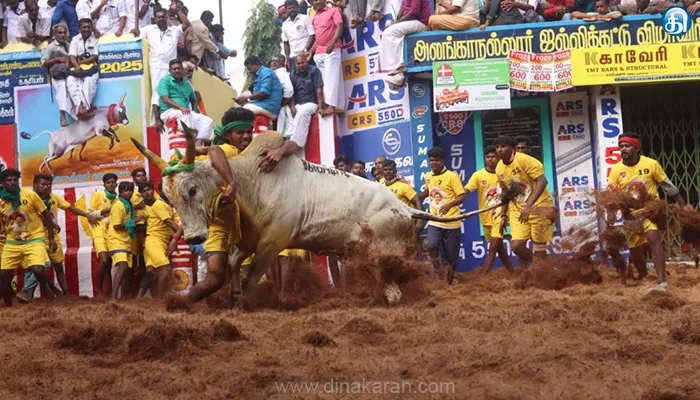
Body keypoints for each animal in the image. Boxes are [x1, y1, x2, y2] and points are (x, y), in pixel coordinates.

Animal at [134, 130, 478, 296]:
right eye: (169, 195)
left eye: (192, 189)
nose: (193, 237)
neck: (251, 180)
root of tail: (404, 207)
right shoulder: (248, 240)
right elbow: (233, 268)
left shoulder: (273, 241)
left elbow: (249, 279)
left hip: (385, 253)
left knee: (394, 289)